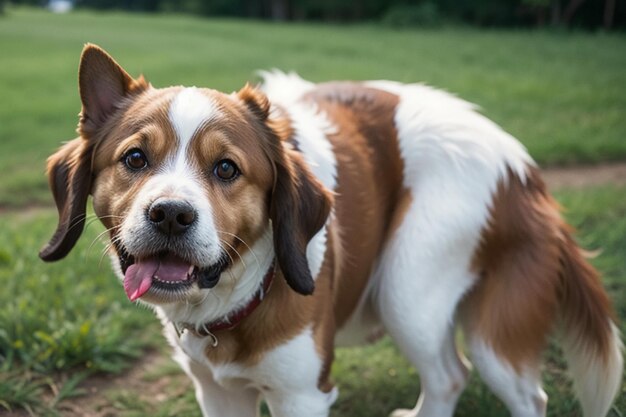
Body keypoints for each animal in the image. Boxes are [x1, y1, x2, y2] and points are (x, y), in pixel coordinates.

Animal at [40, 45, 620, 416]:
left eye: (226, 169)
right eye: (135, 158)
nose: (170, 214)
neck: (238, 298)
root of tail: (523, 167)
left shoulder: (302, 395)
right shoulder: (219, 394)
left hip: (409, 293)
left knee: (488, 385)